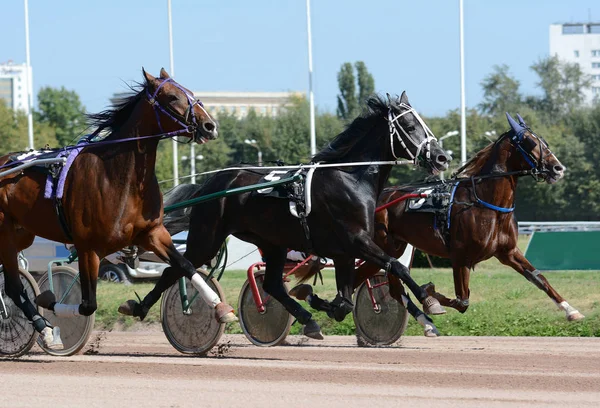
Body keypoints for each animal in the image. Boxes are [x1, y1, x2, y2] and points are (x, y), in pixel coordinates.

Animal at [1, 68, 236, 350]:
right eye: (172, 97)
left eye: (190, 92)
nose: (210, 126)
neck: (119, 177)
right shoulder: (88, 248)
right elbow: (88, 304)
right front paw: (49, 303)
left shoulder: (152, 233)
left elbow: (185, 264)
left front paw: (219, 306)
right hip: (5, 234)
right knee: (14, 288)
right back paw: (43, 328)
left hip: (21, 234)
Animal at [122, 93, 450, 338]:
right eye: (410, 125)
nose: (441, 157)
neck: (349, 177)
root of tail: (212, 183)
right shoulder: (355, 241)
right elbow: (398, 265)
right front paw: (431, 301)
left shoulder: (344, 251)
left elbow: (345, 302)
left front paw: (319, 301)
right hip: (208, 237)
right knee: (177, 269)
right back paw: (141, 307)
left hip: (271, 242)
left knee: (271, 285)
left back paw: (307, 319)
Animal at [344, 112, 584, 334]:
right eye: (529, 142)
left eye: (544, 141)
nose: (558, 168)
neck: (486, 203)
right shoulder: (460, 257)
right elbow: (462, 301)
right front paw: (430, 293)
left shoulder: (507, 252)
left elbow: (538, 278)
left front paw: (571, 310)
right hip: (379, 244)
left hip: (390, 247)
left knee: (382, 282)